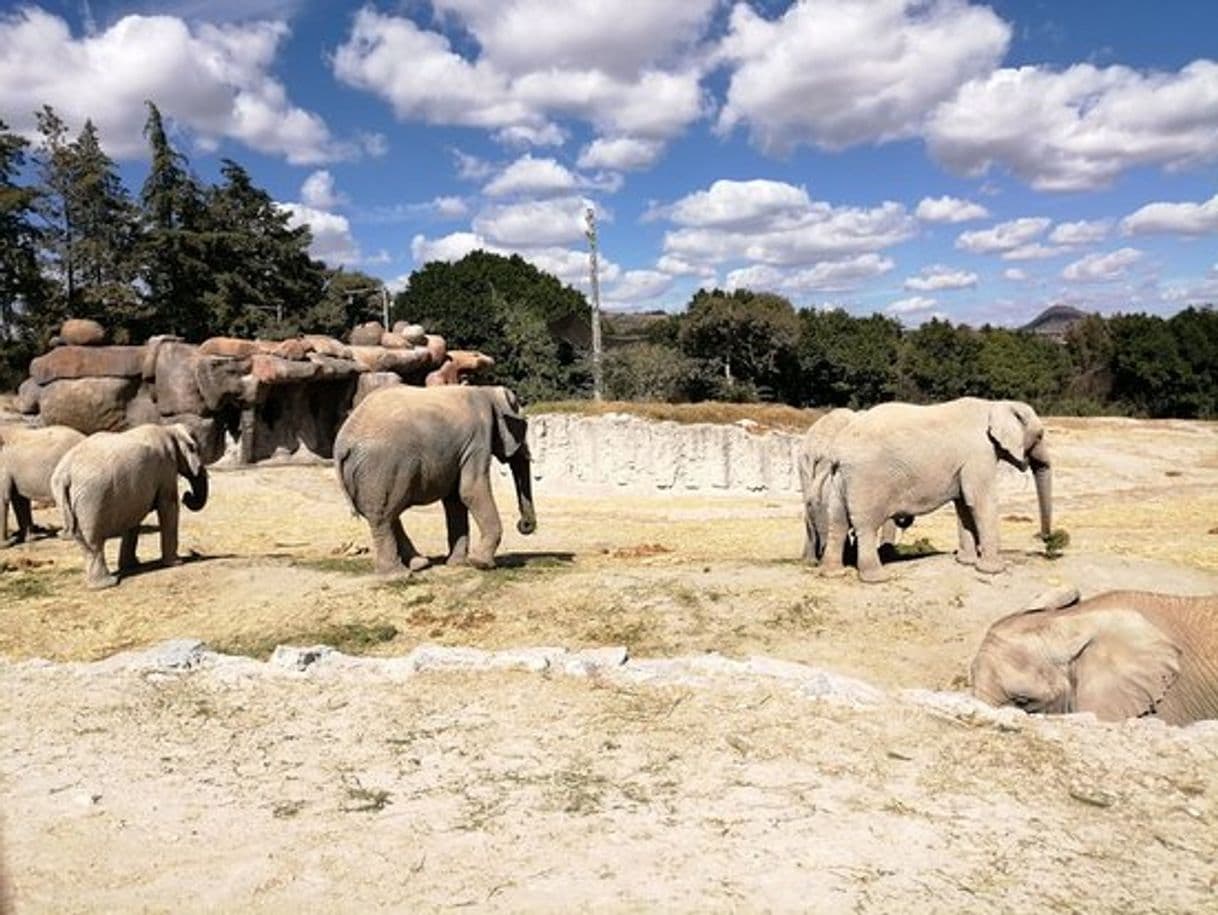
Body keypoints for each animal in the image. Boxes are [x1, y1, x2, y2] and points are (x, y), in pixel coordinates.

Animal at [51, 421, 209, 587]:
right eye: (196, 450)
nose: (187, 496)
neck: (169, 429)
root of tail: (65, 474)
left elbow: (133, 517)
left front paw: (132, 565)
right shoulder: (167, 466)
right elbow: (168, 506)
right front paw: (176, 563)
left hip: (68, 499)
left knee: (83, 540)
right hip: (91, 501)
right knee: (93, 541)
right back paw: (108, 583)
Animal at [331, 385, 535, 572]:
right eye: (523, 428)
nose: (523, 525)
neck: (487, 391)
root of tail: (341, 444)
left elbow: (455, 500)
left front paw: (457, 564)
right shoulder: (477, 440)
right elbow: (470, 490)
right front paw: (481, 564)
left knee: (387, 513)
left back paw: (418, 565)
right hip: (382, 467)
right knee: (383, 517)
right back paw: (398, 575)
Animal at [823, 397, 1052, 582]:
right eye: (1040, 436)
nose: (1046, 540)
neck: (994, 404)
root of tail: (839, 450)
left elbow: (963, 506)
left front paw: (965, 562)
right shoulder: (979, 454)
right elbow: (980, 502)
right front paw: (993, 570)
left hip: (840, 478)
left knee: (837, 522)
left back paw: (834, 573)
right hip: (867, 478)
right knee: (866, 526)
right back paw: (877, 578)